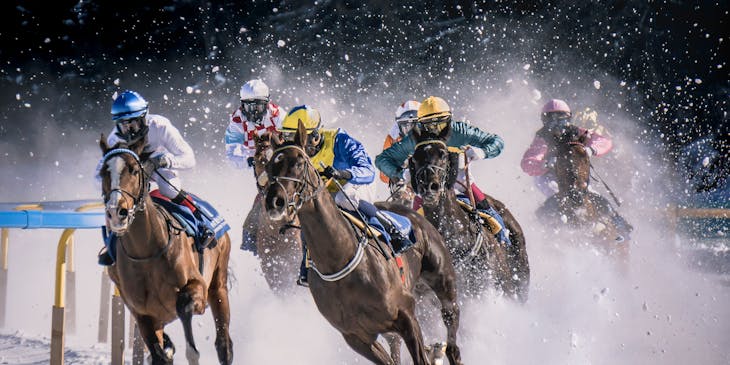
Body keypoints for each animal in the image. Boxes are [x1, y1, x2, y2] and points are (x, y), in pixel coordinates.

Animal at [98, 136, 232, 364]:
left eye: (134, 169)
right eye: (102, 173)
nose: (117, 212)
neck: (146, 253)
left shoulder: (198, 288)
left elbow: (184, 306)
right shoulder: (142, 314)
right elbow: (158, 354)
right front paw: (167, 350)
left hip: (218, 283)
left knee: (224, 345)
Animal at [264, 121, 464, 364]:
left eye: (299, 163)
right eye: (269, 167)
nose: (274, 201)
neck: (340, 259)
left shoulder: (405, 314)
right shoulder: (357, 337)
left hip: (443, 281)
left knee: (452, 329)